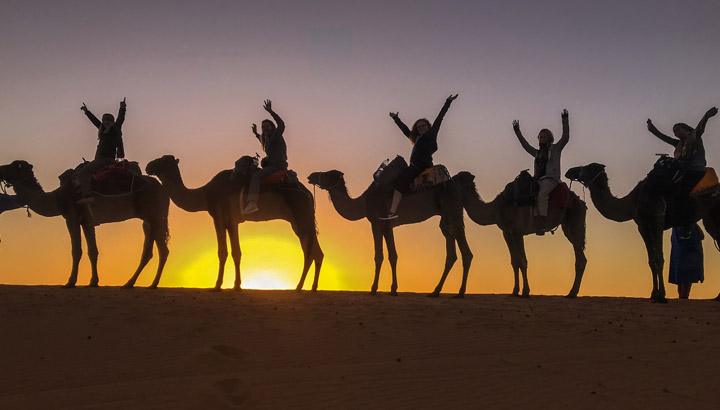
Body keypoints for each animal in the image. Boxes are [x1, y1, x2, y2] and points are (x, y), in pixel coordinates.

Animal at [0, 160, 170, 288]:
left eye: (16, 165)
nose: (1, 168)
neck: (56, 198)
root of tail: (162, 189)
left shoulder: (71, 217)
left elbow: (76, 251)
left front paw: (70, 282)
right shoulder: (87, 222)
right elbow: (92, 251)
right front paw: (93, 282)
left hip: (153, 214)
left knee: (153, 251)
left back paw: (135, 284)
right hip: (151, 219)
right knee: (158, 250)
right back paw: (145, 284)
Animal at [146, 155, 320, 292]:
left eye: (163, 160)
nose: (148, 166)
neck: (205, 194)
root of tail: (309, 194)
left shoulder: (218, 217)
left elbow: (222, 252)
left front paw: (217, 286)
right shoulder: (232, 221)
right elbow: (236, 252)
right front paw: (236, 285)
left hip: (302, 216)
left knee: (309, 252)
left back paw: (299, 287)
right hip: (299, 222)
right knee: (315, 252)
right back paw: (311, 287)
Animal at [306, 171, 470, 298]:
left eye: (328, 174)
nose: (311, 175)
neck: (363, 203)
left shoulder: (376, 222)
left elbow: (379, 256)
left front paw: (373, 289)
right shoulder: (387, 225)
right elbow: (393, 255)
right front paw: (393, 289)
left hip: (452, 209)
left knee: (465, 251)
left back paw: (458, 292)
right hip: (447, 215)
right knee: (452, 250)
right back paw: (437, 291)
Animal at [456, 171, 584, 296]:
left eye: (457, 179)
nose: (450, 182)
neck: (496, 209)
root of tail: (580, 201)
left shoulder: (517, 232)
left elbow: (522, 261)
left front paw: (526, 291)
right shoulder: (507, 233)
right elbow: (515, 261)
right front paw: (514, 291)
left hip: (575, 221)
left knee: (580, 258)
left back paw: (572, 293)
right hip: (567, 226)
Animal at [568, 163, 720, 302]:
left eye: (588, 167)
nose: (570, 171)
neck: (634, 200)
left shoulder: (657, 220)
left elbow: (659, 258)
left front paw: (661, 296)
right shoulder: (643, 226)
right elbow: (651, 261)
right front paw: (653, 294)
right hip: (709, 218)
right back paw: (717, 297)